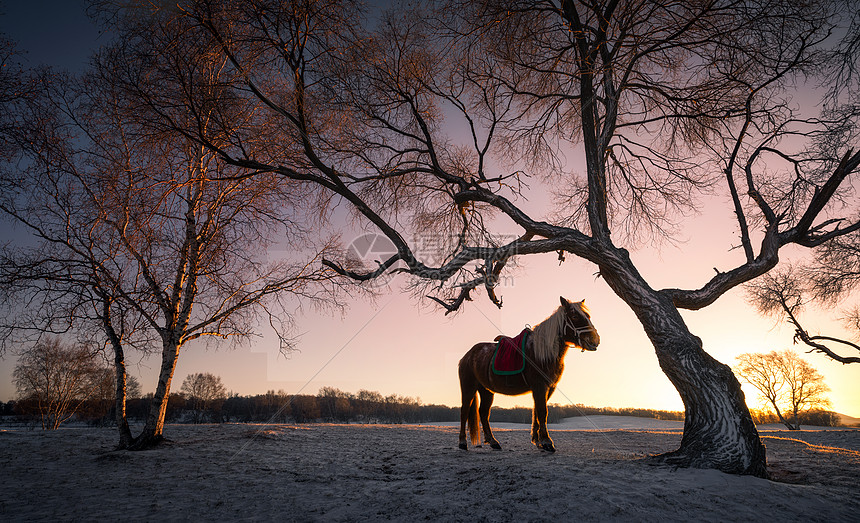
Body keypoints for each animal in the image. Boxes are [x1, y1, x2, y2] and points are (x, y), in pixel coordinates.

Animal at [456, 296, 596, 452]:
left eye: (587, 316)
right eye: (575, 316)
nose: (594, 339)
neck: (542, 351)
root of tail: (467, 355)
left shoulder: (548, 388)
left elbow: (536, 412)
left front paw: (538, 440)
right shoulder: (540, 386)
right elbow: (542, 412)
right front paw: (547, 442)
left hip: (487, 390)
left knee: (483, 413)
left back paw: (493, 442)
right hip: (468, 387)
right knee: (464, 411)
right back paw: (462, 442)